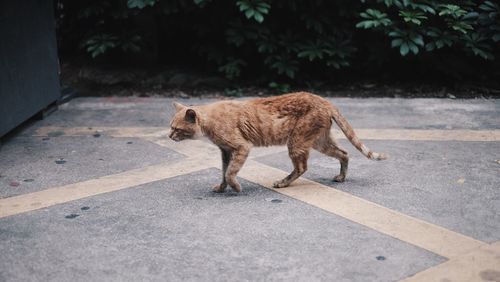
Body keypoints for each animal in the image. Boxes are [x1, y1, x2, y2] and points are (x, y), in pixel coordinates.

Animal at [169, 91, 386, 193]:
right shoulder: (225, 151)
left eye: (176, 129)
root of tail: (324, 100)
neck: (209, 120)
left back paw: (283, 182)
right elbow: (224, 171)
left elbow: (230, 172)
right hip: (319, 142)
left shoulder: (241, 147)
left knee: (302, 167)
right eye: (170, 127)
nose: (169, 137)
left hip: (296, 142)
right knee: (344, 153)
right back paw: (341, 177)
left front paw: (235, 188)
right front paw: (222, 188)